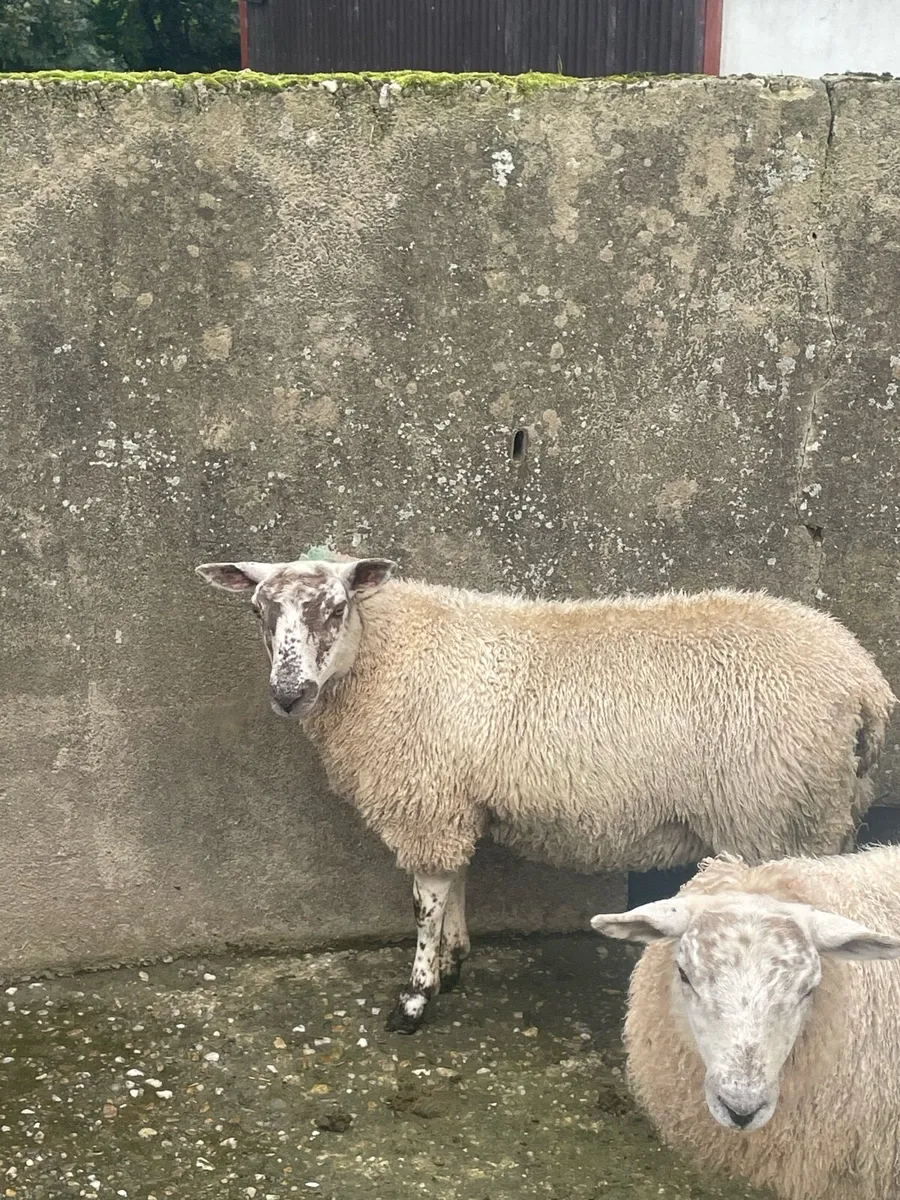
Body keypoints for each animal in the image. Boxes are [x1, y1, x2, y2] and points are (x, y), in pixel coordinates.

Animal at [195, 554, 895, 1034]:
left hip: (777, 813)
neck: (386, 656)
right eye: (258, 612)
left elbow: (424, 900)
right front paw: (453, 963)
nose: (289, 695)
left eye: (335, 609)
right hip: (820, 810)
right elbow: (456, 881)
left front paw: (416, 998)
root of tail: (863, 682)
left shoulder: (425, 798)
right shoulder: (453, 798)